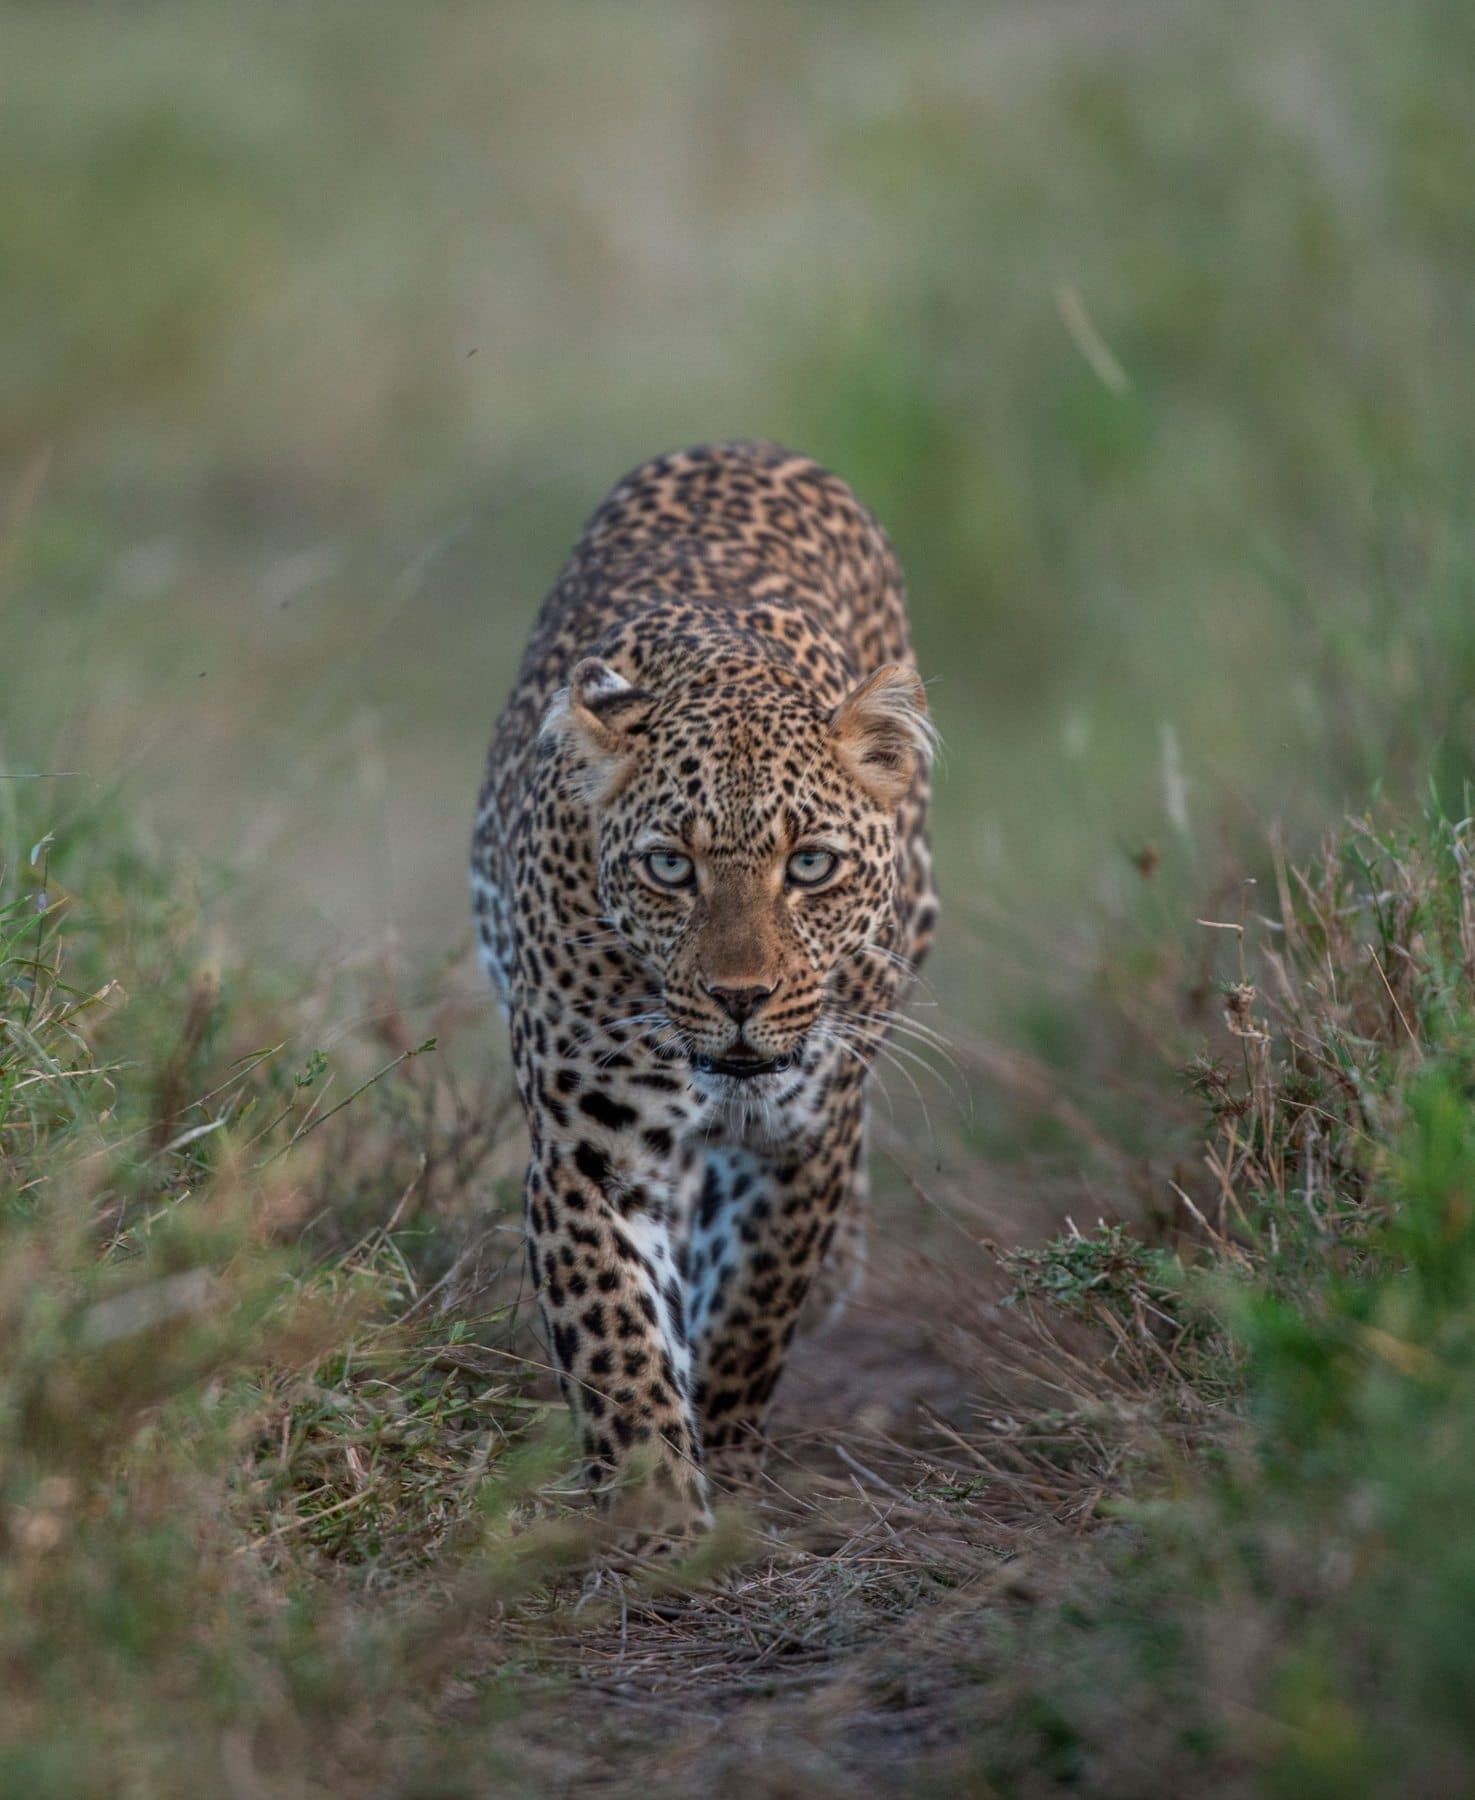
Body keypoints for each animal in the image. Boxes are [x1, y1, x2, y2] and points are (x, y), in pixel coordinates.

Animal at [470, 440, 937, 1543]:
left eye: (809, 866)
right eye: (667, 868)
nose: (739, 998)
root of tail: (749, 445)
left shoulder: (806, 1132)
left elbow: (757, 1305)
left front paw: (724, 1455)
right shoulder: (593, 1154)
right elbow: (616, 1340)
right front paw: (655, 1516)